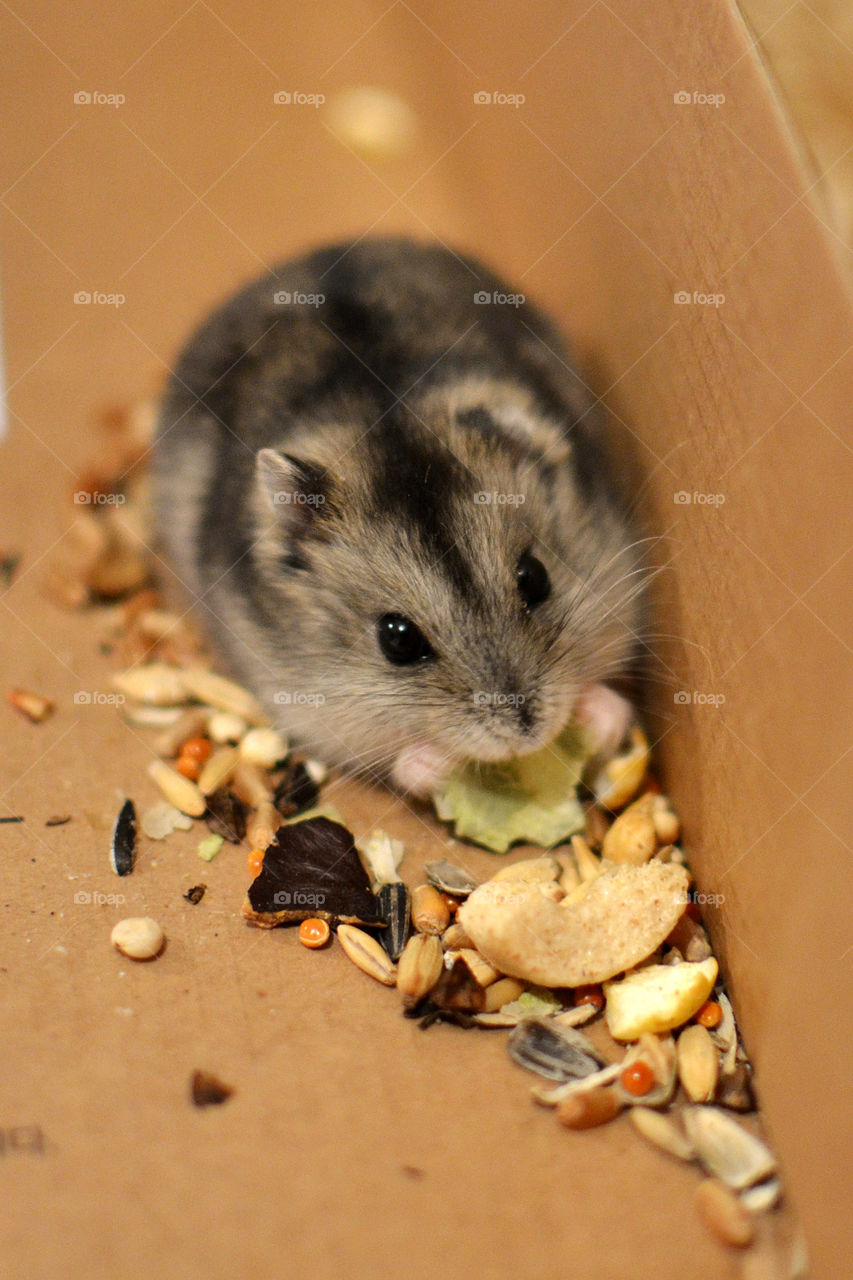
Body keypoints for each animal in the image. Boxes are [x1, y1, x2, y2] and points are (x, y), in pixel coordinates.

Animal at [152, 237, 646, 796]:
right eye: (397, 639)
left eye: (536, 578)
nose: (526, 733)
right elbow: (402, 760)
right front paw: (439, 767)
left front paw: (602, 717)